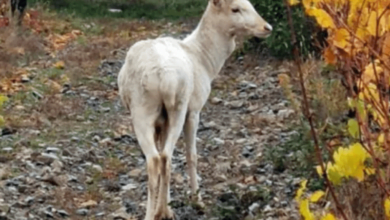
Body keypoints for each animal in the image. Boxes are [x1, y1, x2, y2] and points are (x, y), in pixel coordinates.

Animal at [117, 0, 272, 219]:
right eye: (235, 9)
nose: (267, 27)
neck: (205, 61)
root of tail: (165, 76)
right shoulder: (191, 110)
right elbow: (189, 155)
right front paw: (194, 201)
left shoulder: (168, 118)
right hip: (175, 107)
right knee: (165, 156)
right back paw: (166, 210)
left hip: (146, 110)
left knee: (157, 158)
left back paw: (157, 212)